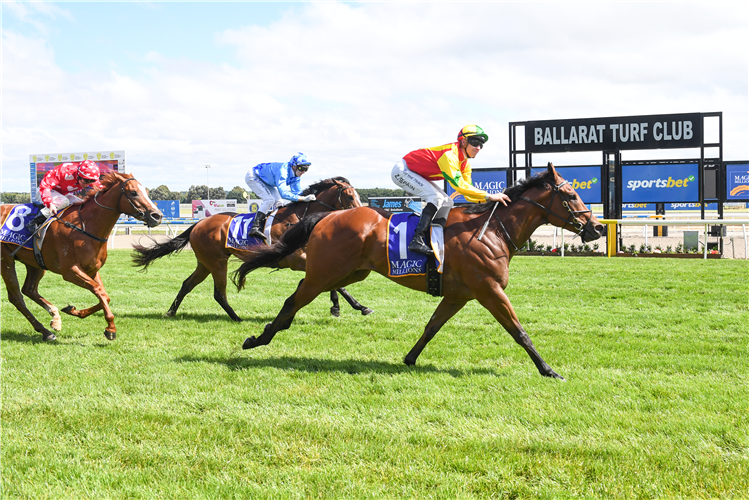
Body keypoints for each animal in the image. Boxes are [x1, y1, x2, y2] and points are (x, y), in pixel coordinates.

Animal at [0, 172, 164, 340]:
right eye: (133, 192)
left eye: (146, 192)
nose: (157, 215)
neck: (85, 226)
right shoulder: (70, 271)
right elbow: (99, 291)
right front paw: (111, 328)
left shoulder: (92, 270)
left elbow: (104, 295)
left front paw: (73, 311)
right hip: (5, 260)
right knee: (16, 297)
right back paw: (45, 331)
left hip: (35, 262)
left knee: (29, 289)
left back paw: (54, 319)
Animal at [131, 178, 372, 322]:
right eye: (350, 195)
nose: (363, 213)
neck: (299, 219)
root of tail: (199, 224)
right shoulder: (295, 259)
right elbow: (334, 283)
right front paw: (358, 307)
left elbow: (332, 282)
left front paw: (340, 307)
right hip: (217, 262)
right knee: (219, 293)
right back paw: (237, 318)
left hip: (205, 263)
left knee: (187, 284)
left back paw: (171, 311)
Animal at [234, 164, 608, 378]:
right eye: (571, 194)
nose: (596, 228)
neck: (492, 229)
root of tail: (327, 216)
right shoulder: (489, 289)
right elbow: (519, 331)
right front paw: (549, 370)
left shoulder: (459, 294)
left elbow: (431, 327)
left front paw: (410, 358)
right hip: (326, 272)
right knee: (293, 299)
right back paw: (259, 338)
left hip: (350, 271)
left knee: (304, 292)